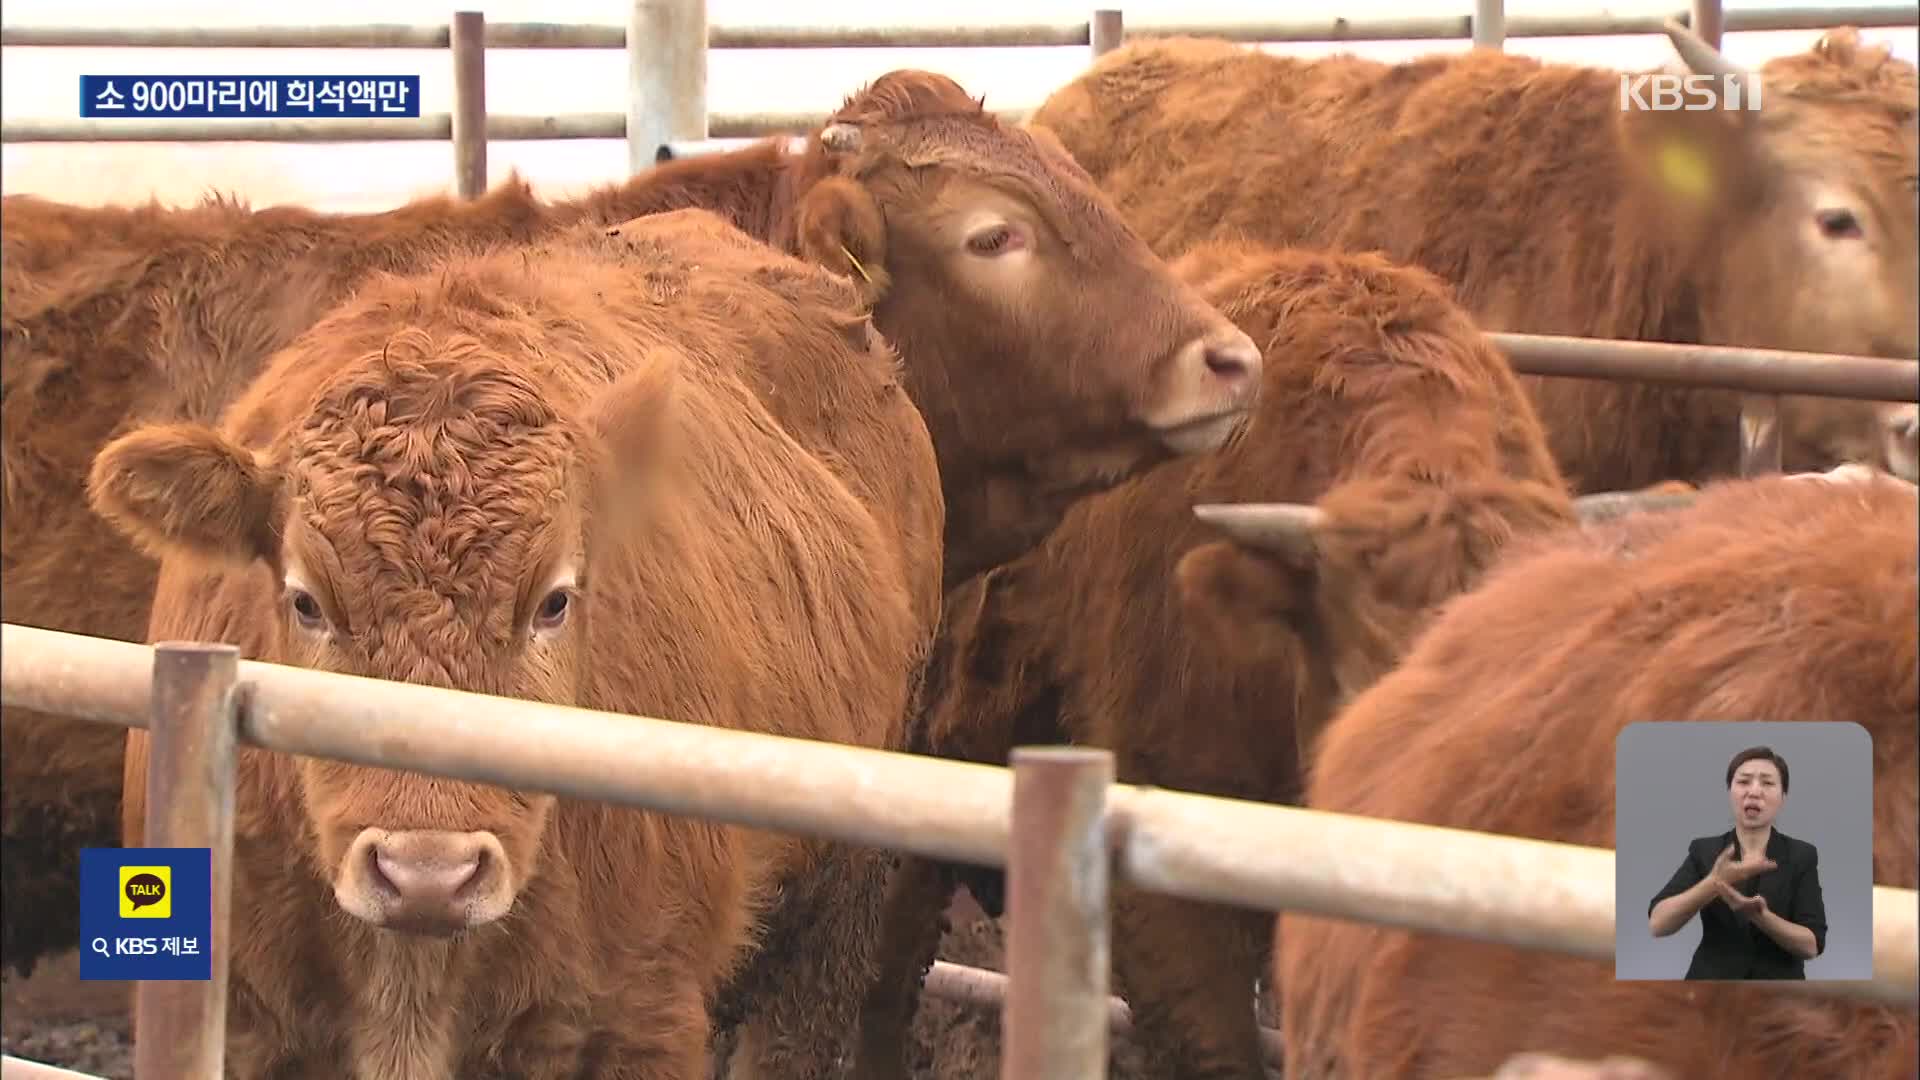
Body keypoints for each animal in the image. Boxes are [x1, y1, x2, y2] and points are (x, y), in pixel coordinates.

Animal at [88, 205, 944, 1068]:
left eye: (554, 601)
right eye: (306, 602)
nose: (427, 874)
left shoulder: (642, 1018)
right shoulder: (249, 1020)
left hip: (833, 916)